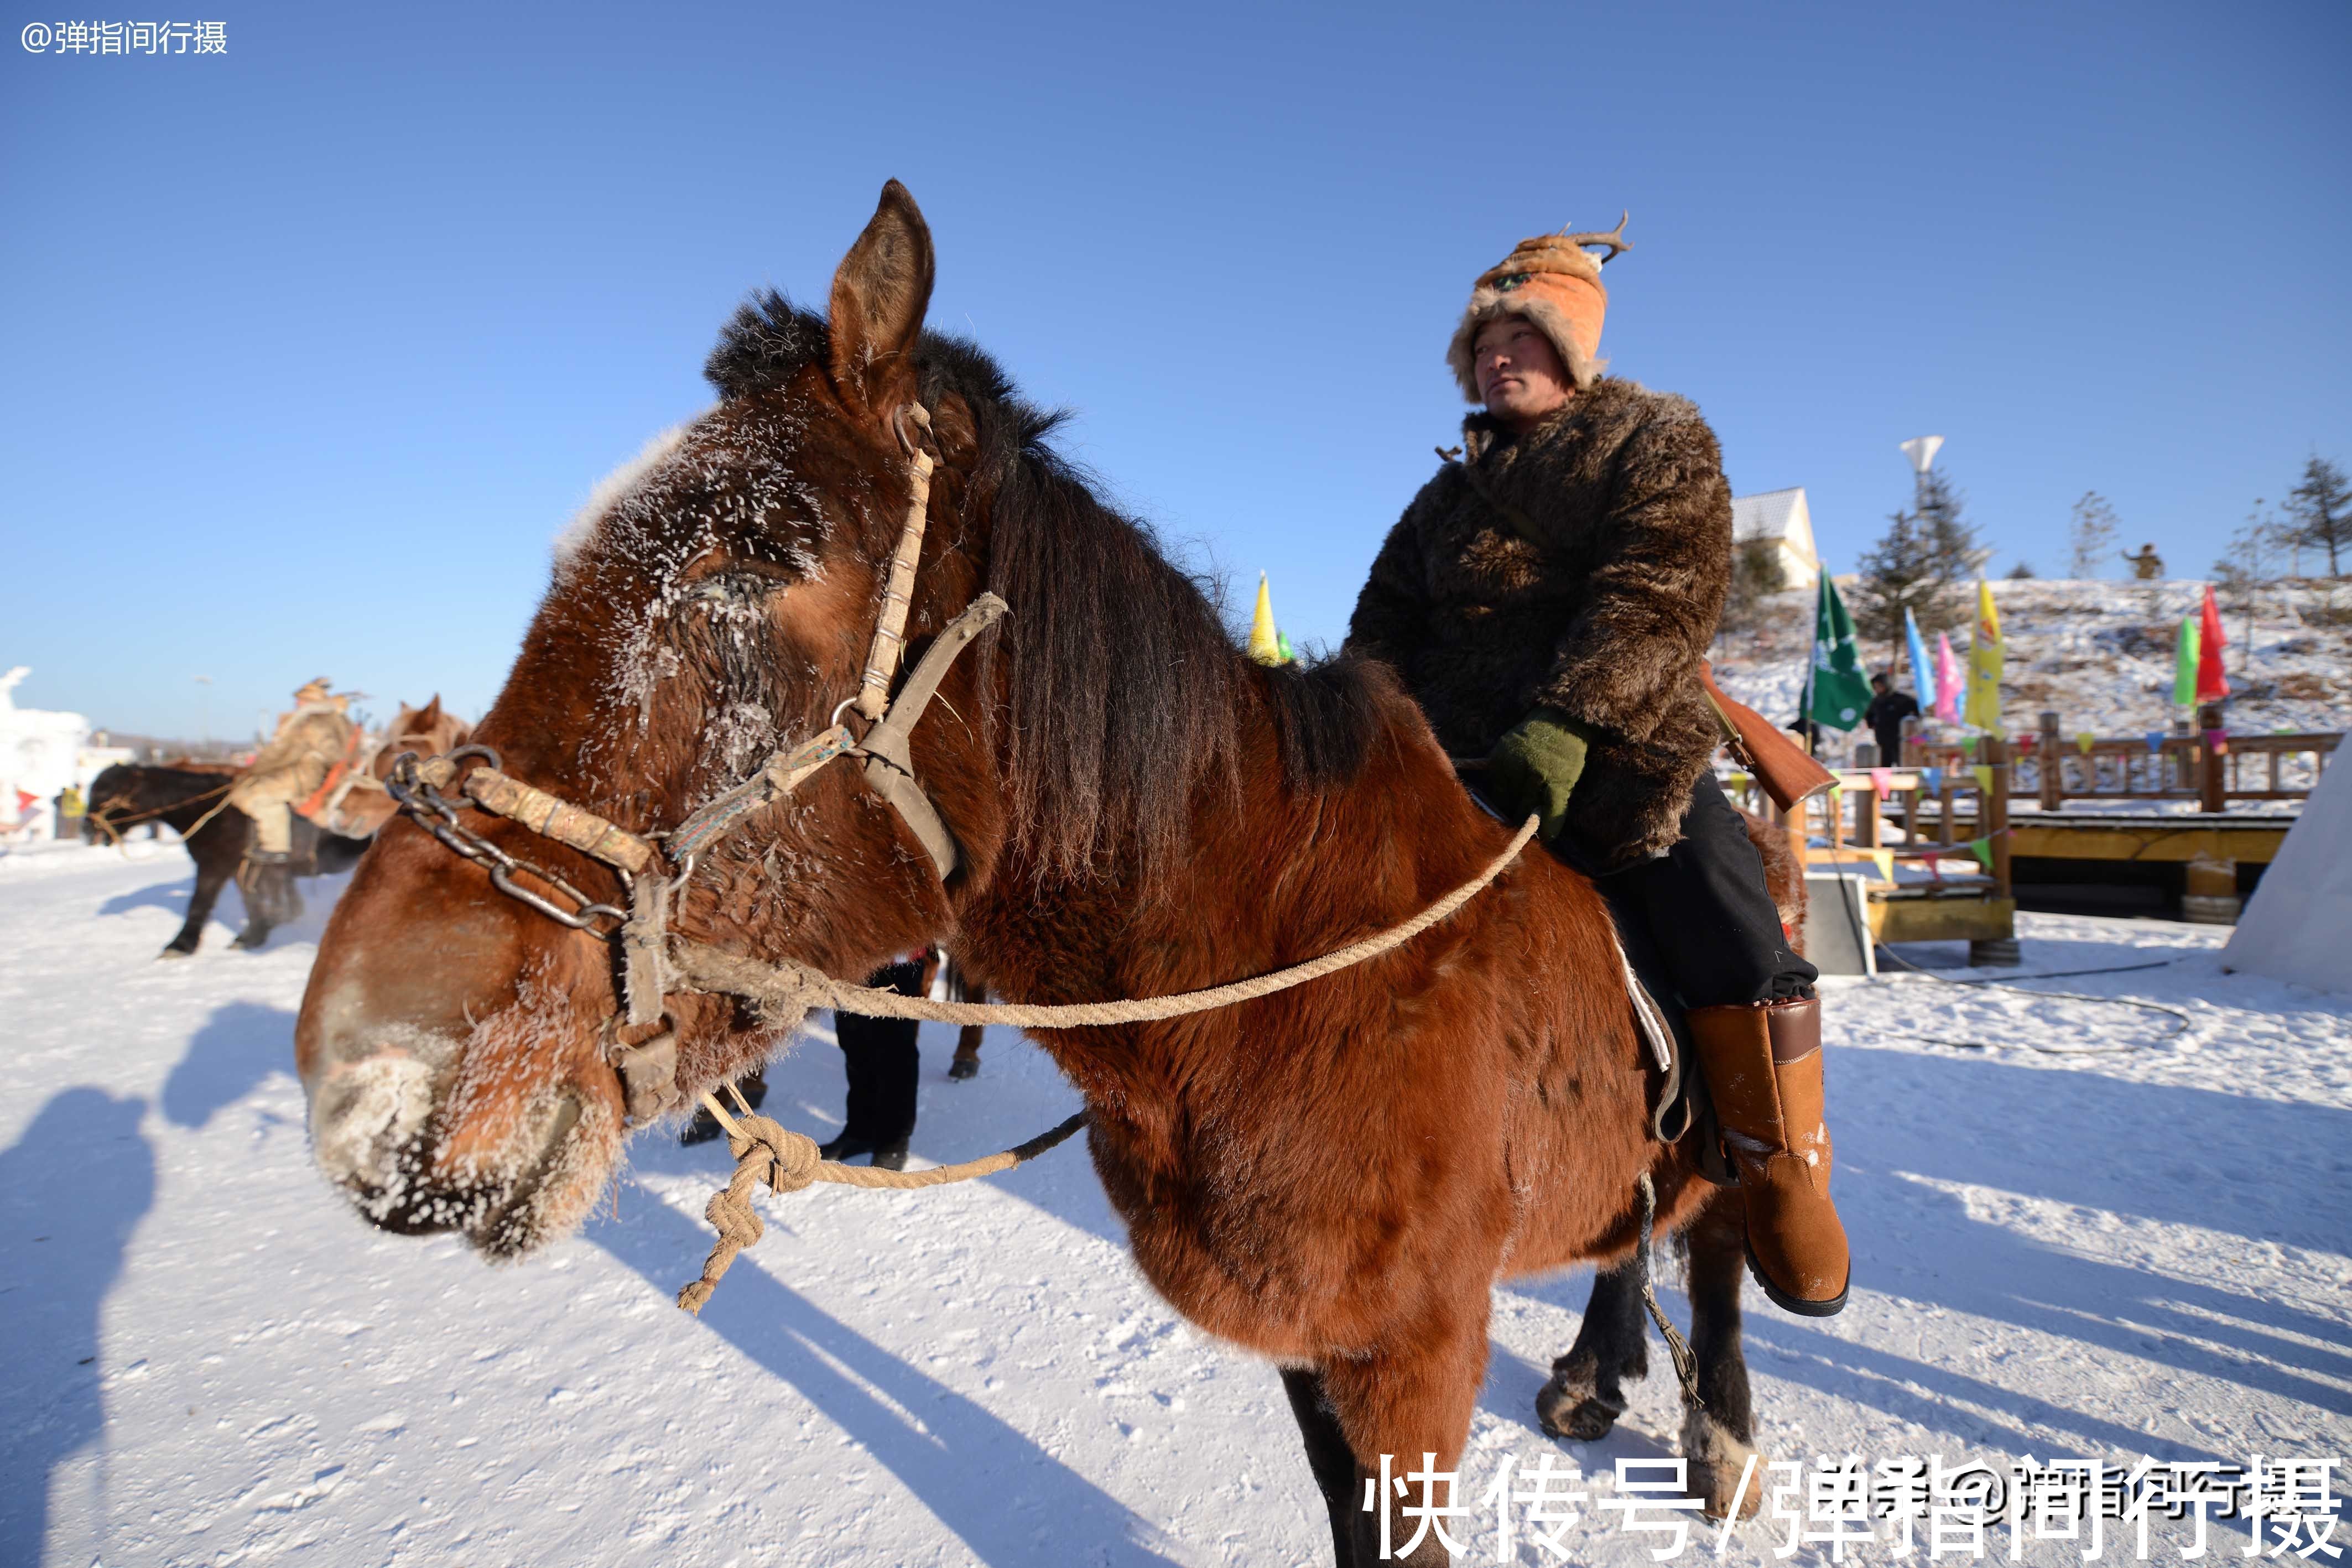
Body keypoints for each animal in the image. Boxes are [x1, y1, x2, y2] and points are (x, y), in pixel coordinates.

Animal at [303, 186, 1787, 1568]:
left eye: (754, 557)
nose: (365, 1065)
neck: (1281, 975)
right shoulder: (1320, 1345)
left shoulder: (1413, 1350)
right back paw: (1596, 1369)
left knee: (1718, 1239)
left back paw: (1716, 1428)